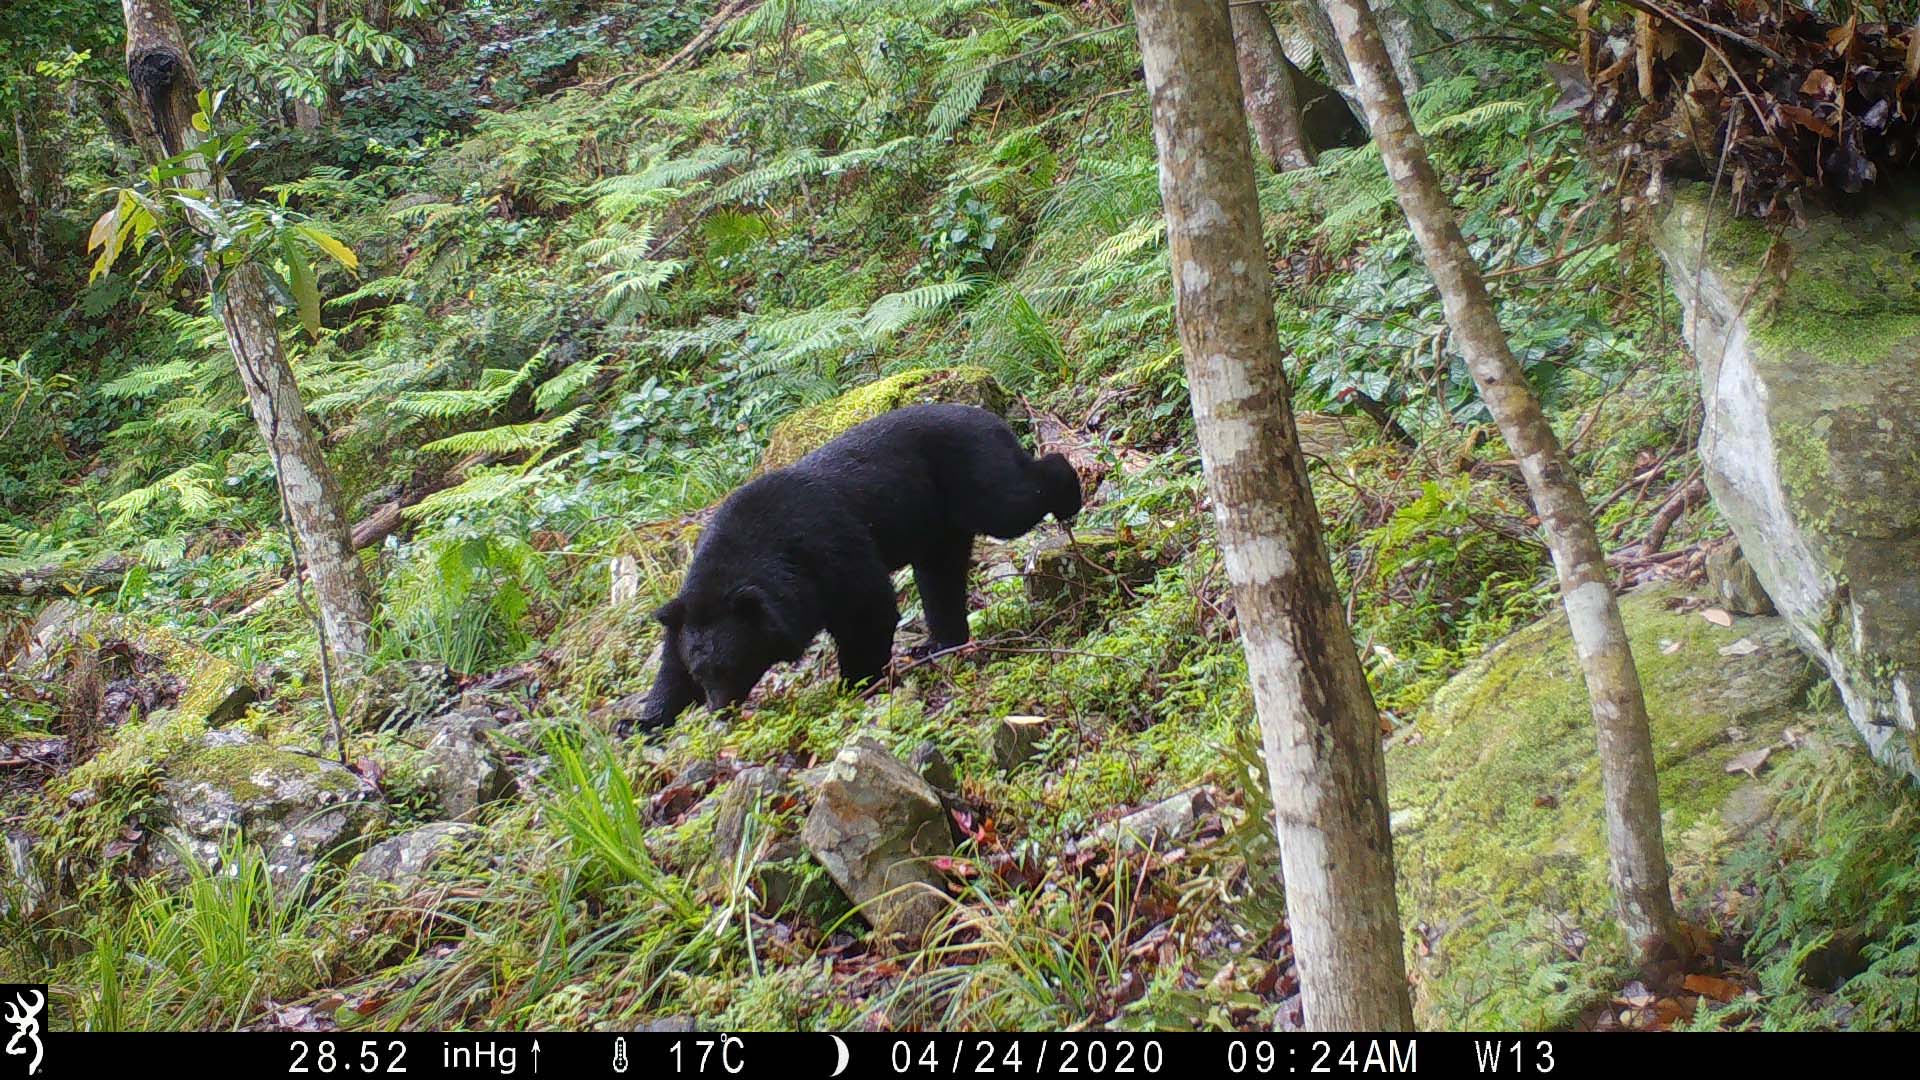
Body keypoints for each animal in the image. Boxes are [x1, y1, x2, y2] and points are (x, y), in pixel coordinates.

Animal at [629, 403, 1082, 730]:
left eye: (731, 665)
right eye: (701, 671)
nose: (717, 710)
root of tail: (991, 418)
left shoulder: (826, 549)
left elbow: (867, 608)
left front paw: (854, 682)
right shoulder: (692, 602)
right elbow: (669, 662)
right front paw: (642, 720)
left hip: (972, 477)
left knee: (1012, 502)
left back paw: (1069, 493)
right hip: (935, 522)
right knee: (940, 578)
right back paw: (938, 643)